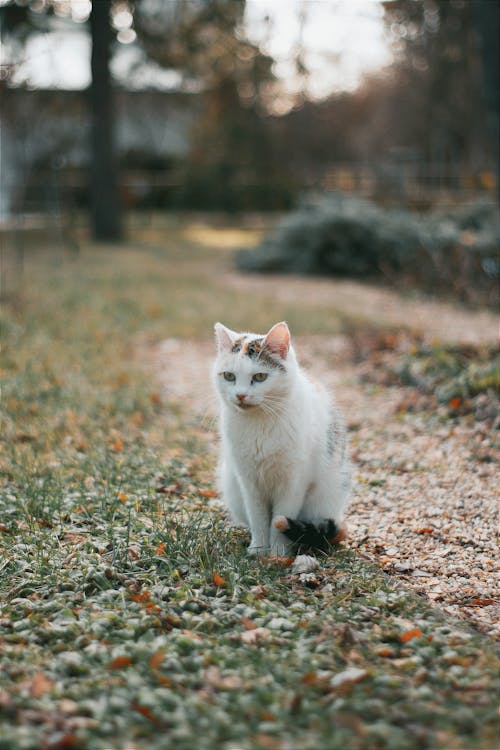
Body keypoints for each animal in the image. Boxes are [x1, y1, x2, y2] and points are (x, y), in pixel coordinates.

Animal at [212, 320, 352, 556]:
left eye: (260, 377)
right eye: (229, 376)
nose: (240, 395)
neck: (259, 424)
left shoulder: (293, 482)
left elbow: (279, 519)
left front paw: (278, 553)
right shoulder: (249, 482)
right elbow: (259, 518)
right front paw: (259, 549)